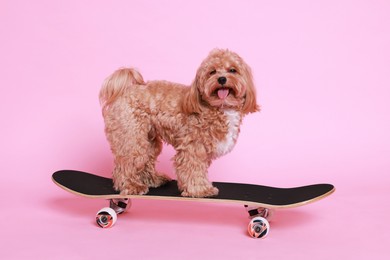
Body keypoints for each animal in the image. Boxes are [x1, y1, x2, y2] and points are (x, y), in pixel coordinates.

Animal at [100, 48, 258, 198]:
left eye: (233, 70)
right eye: (212, 72)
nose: (222, 79)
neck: (219, 107)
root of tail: (125, 90)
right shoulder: (193, 146)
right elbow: (193, 168)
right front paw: (201, 190)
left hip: (149, 139)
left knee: (145, 160)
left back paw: (153, 179)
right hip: (132, 137)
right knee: (125, 164)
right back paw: (131, 185)